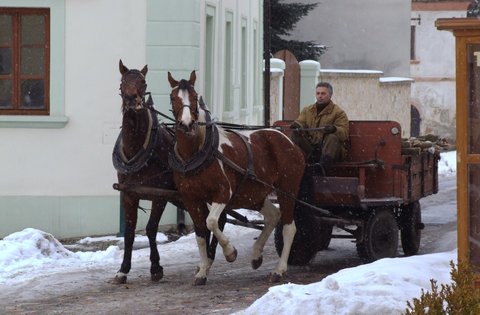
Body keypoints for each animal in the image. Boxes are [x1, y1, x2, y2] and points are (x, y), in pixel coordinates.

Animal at [167, 70, 306, 286]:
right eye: (173, 97)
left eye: (194, 96)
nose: (187, 124)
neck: (197, 153)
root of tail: (288, 140)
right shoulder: (191, 199)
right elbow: (200, 233)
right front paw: (202, 271)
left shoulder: (223, 193)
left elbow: (211, 222)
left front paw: (230, 252)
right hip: (254, 194)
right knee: (273, 216)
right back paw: (256, 254)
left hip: (287, 190)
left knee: (289, 227)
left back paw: (279, 269)